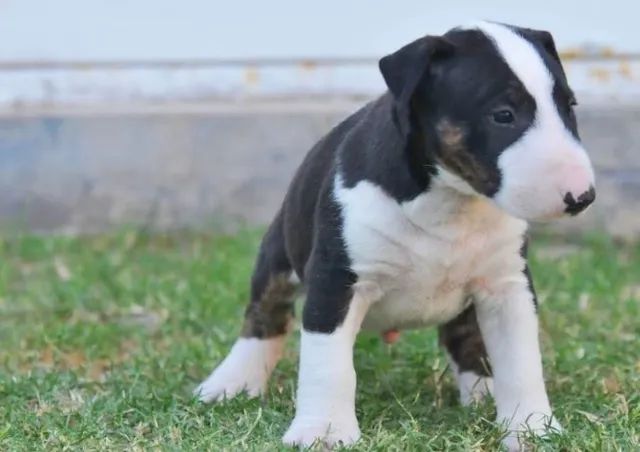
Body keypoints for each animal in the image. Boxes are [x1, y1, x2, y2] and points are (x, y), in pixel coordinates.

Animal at [194, 20, 596, 448]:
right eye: (503, 114)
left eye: (570, 106)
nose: (582, 197)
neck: (450, 200)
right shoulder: (336, 279)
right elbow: (327, 361)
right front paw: (324, 431)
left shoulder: (507, 284)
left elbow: (520, 360)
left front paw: (532, 429)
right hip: (279, 253)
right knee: (265, 315)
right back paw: (231, 383)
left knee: (463, 335)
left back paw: (483, 391)